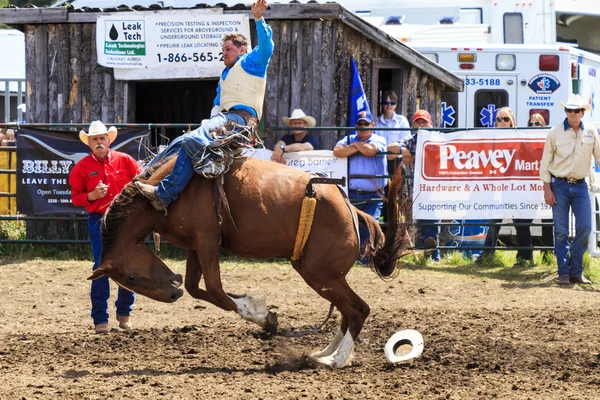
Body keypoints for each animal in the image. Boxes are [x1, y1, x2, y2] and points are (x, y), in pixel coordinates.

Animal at [90, 156, 408, 368]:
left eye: (131, 277)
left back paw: (337, 360)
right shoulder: (194, 245)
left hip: (321, 274)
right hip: (320, 275)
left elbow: (216, 290)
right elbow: (196, 288)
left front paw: (264, 317)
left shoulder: (207, 239)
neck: (161, 196)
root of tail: (351, 209)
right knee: (347, 311)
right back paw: (324, 353)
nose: (171, 295)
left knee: (358, 309)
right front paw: (258, 309)